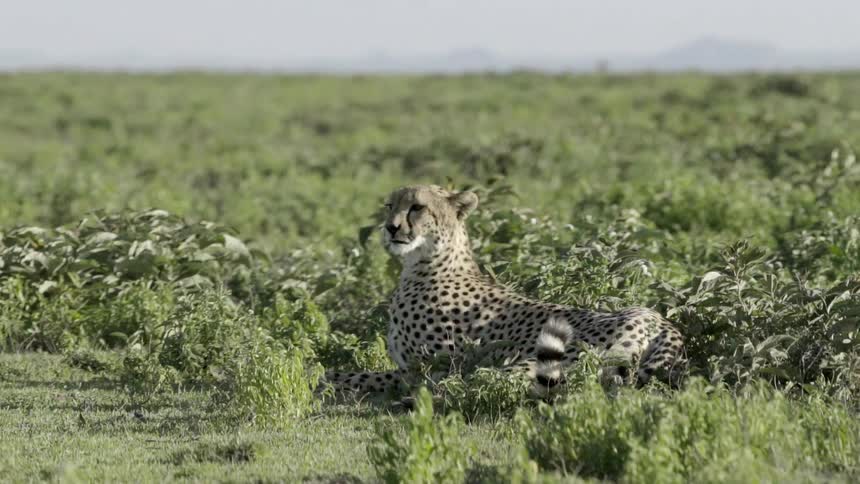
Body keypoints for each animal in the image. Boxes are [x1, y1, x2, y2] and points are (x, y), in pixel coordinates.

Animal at [325, 185, 685, 396]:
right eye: (389, 205)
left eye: (417, 207)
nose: (391, 228)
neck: (426, 262)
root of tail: (659, 320)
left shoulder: (426, 366)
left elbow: (368, 375)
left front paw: (329, 379)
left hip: (532, 361)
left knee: (476, 385)